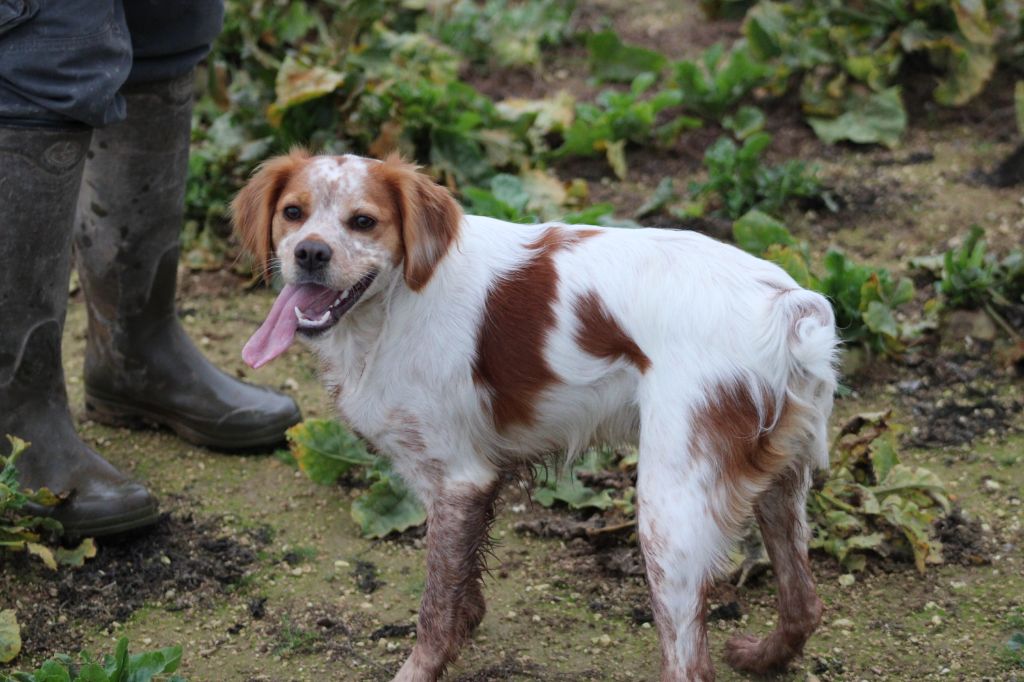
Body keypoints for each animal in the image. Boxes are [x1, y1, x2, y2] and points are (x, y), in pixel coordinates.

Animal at [234, 151, 839, 675]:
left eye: (363, 222)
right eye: (293, 212)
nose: (310, 253)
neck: (398, 297)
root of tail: (787, 305)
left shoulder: (459, 478)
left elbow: (434, 608)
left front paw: (421, 667)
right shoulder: (464, 482)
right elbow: (460, 586)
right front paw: (468, 622)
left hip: (670, 515)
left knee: (691, 664)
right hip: (779, 482)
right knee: (805, 602)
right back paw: (764, 657)